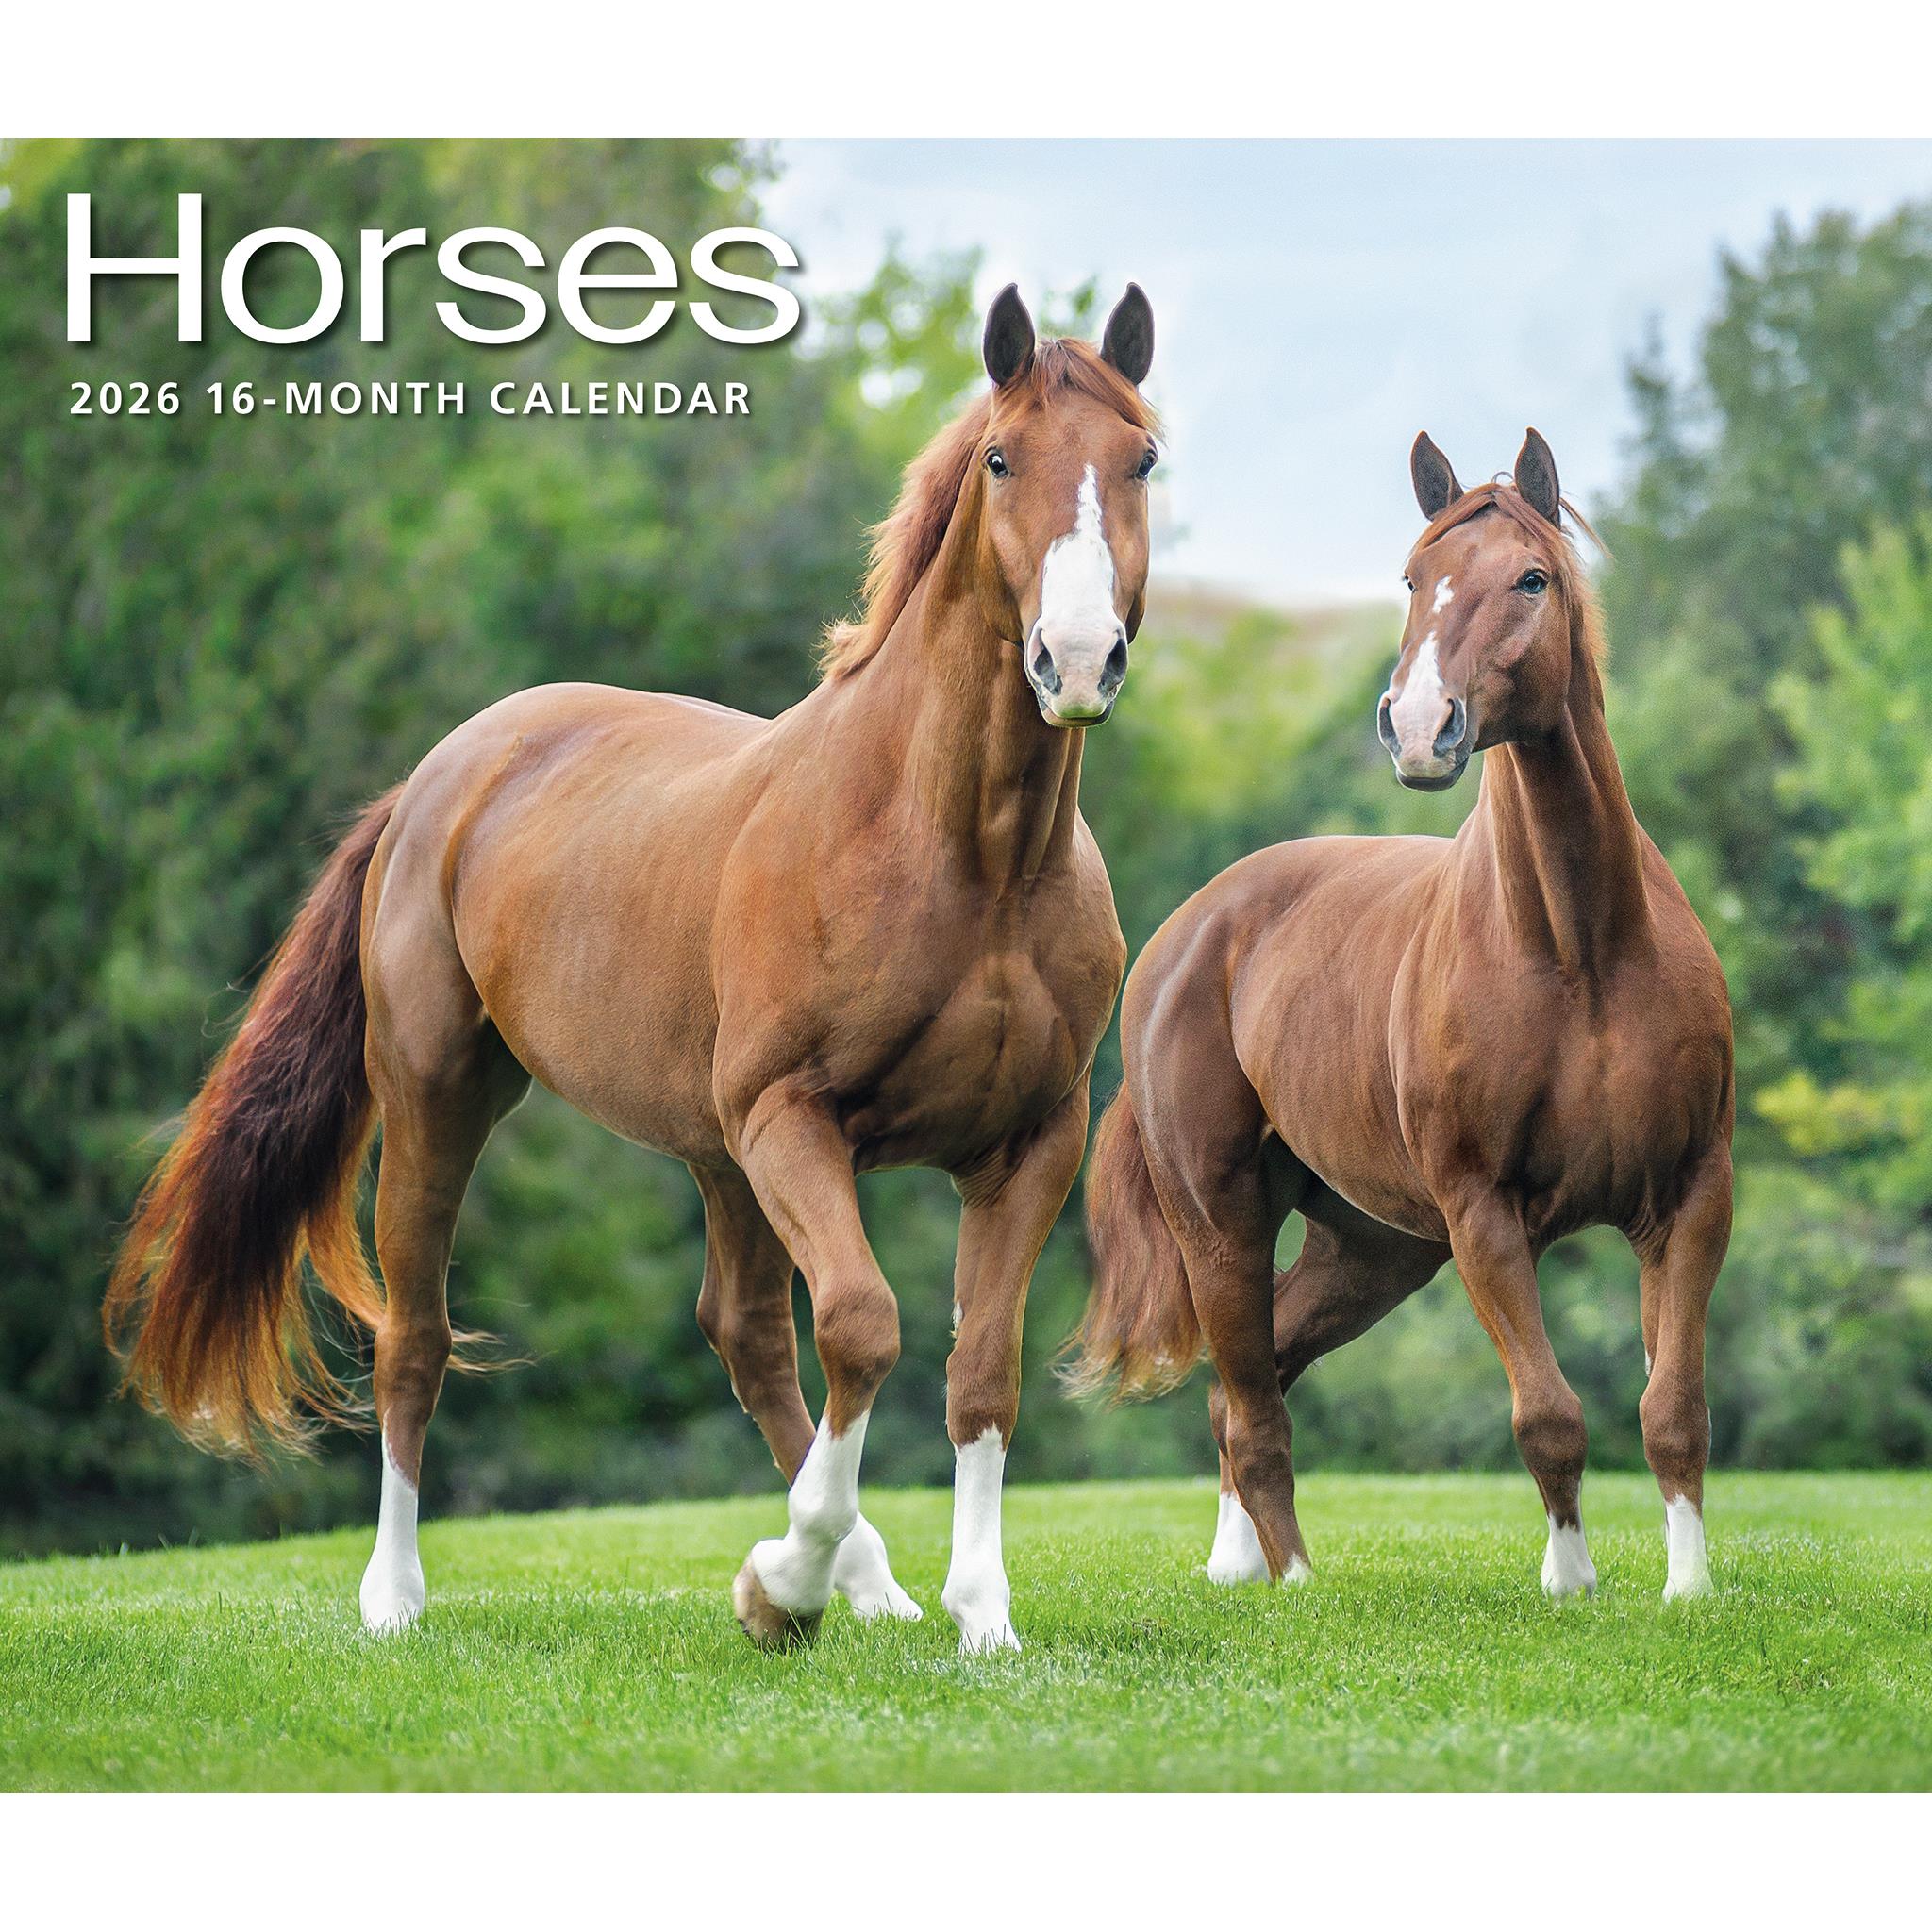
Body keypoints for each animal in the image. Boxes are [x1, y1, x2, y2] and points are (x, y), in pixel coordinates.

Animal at [106, 282, 1161, 1655]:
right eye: (999, 459)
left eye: (1141, 460)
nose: (1076, 662)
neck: (955, 856)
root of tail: (439, 777)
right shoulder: (793, 1119)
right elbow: (863, 1325)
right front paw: (780, 1587)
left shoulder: (1028, 1141)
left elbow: (977, 1367)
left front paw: (977, 1613)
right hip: (447, 1096)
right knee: (416, 1337)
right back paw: (395, 1597)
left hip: (715, 1151)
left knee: (747, 1335)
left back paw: (870, 1582)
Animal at [1071, 429, 1733, 1604]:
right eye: (1413, 579)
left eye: (1531, 577)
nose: (1419, 729)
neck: (1581, 953)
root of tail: (1184, 933)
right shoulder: (1482, 1216)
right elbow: (1547, 1413)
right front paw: (1570, 1582)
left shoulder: (1690, 1198)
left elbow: (1673, 1410)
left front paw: (1687, 1589)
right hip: (1222, 1225)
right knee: (1249, 1401)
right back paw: (1290, 1580)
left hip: (1367, 1251)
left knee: (1247, 1380)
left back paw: (1235, 1564)